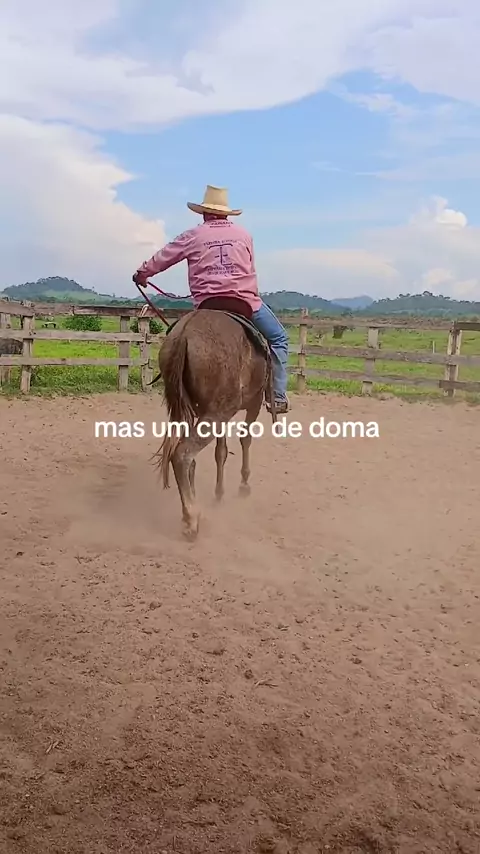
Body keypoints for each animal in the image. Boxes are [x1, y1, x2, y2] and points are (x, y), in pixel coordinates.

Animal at [152, 303, 276, 540]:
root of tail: (184, 334)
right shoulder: (253, 404)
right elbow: (245, 440)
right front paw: (244, 485)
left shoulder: (221, 416)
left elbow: (221, 452)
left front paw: (219, 493)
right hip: (217, 412)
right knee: (182, 455)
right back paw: (192, 518)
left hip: (197, 412)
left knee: (189, 457)